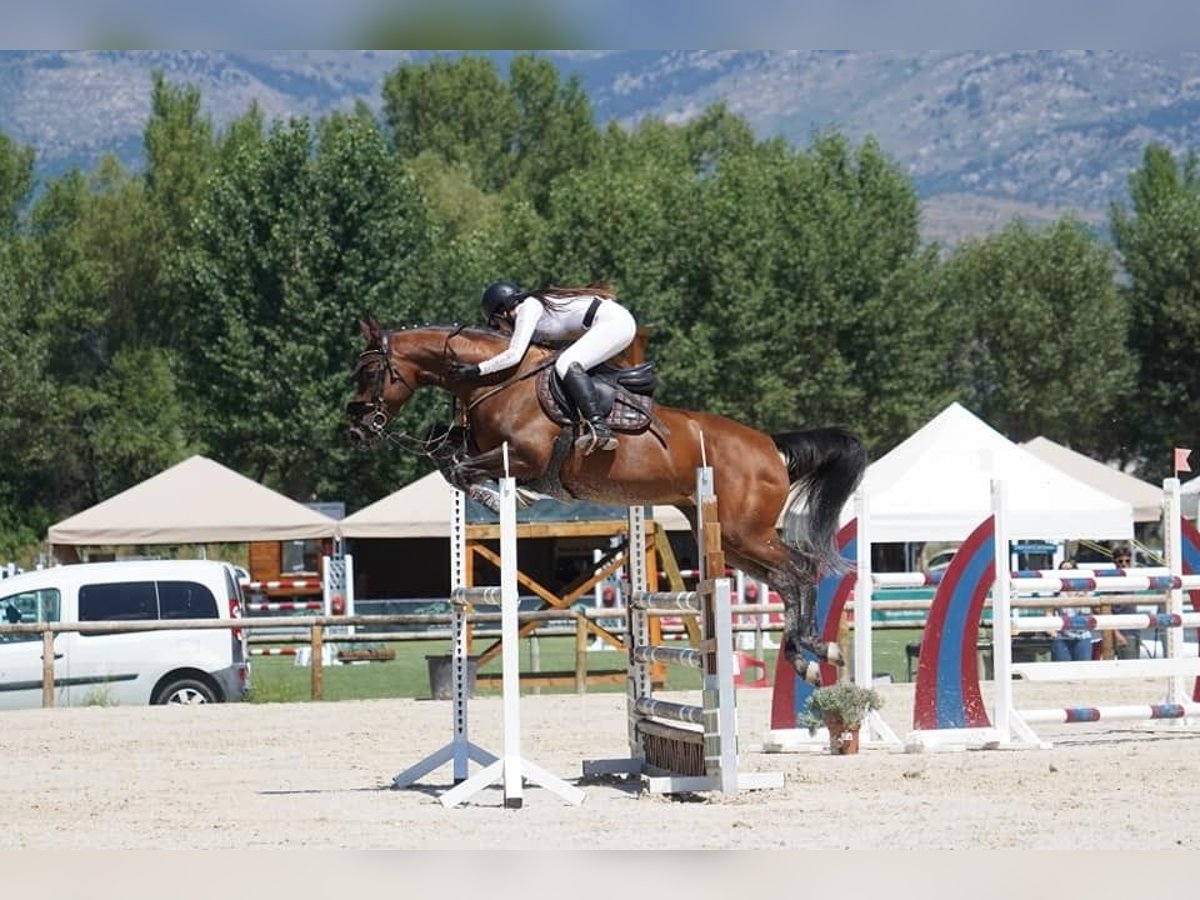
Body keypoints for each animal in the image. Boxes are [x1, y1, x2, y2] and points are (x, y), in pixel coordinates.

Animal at [345, 319, 864, 681]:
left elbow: (459, 466)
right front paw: (491, 495)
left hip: (745, 532)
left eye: (368, 370)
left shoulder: (525, 457)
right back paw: (807, 656)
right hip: (728, 538)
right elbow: (446, 454)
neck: (498, 381)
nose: (356, 428)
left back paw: (817, 649)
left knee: (800, 570)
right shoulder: (481, 446)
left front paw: (502, 500)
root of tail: (770, 446)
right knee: (785, 578)